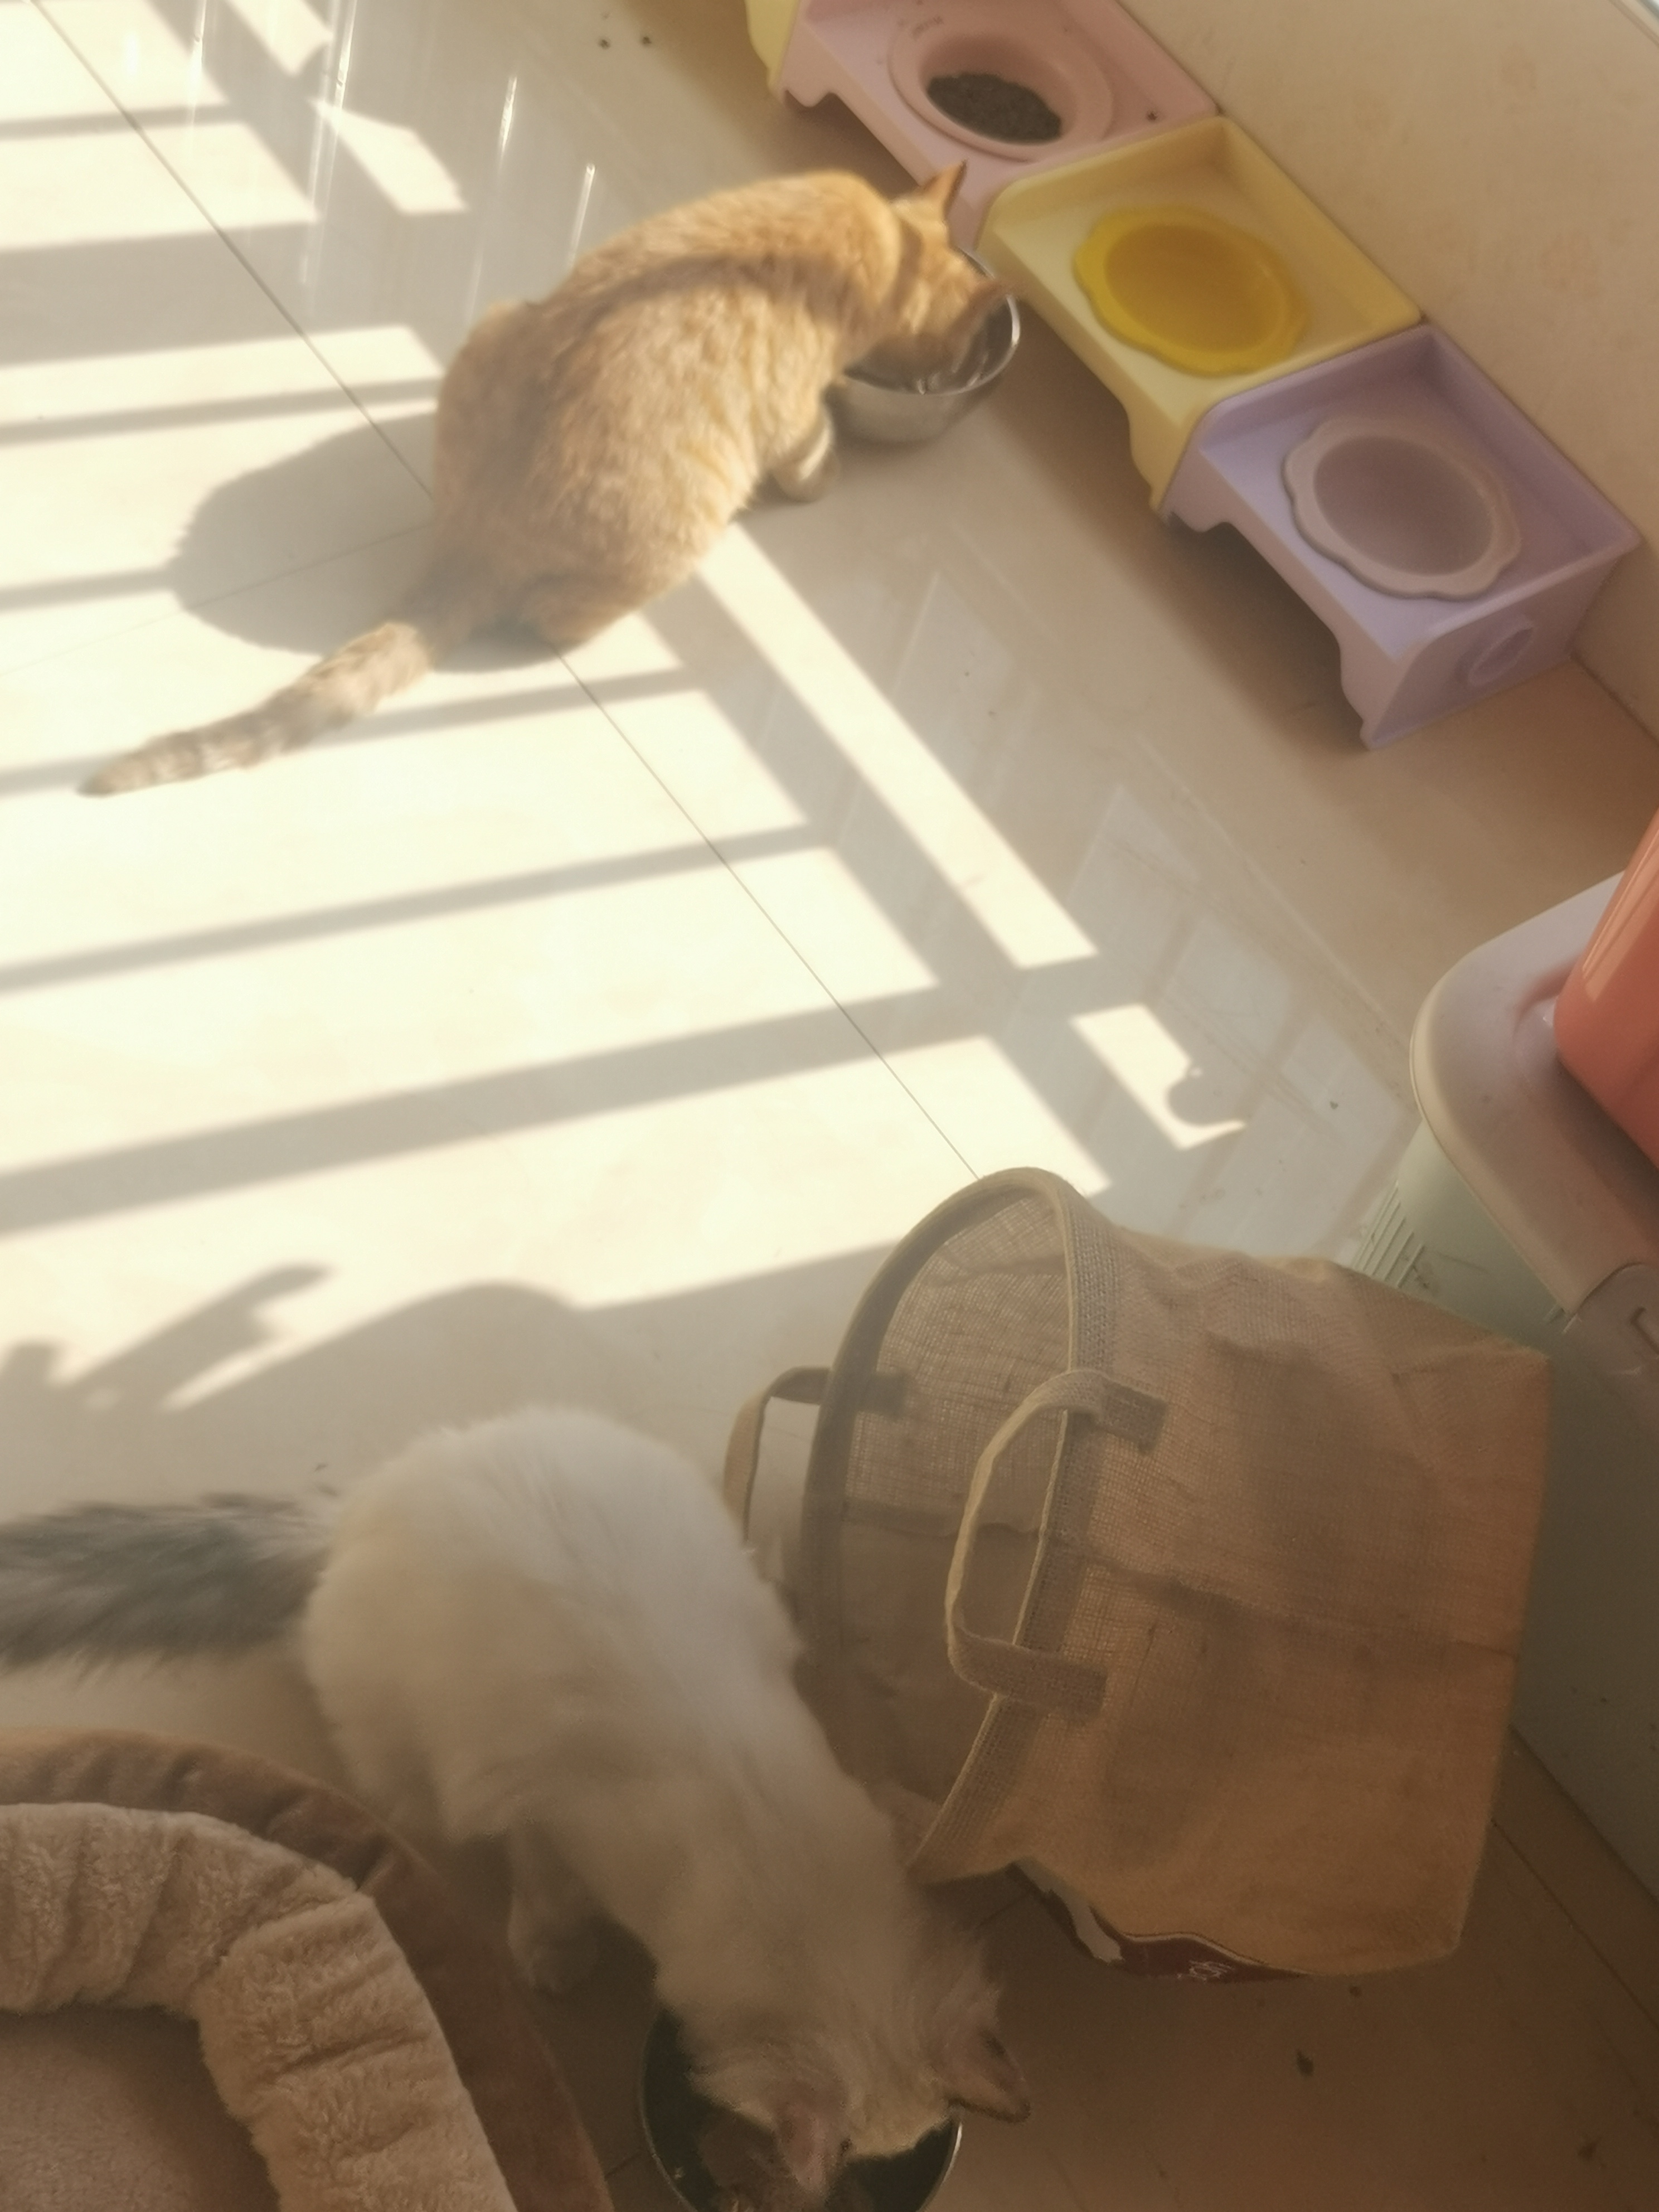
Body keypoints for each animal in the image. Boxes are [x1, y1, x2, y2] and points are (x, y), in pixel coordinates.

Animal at [0, 1406, 1028, 2199]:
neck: (781, 1859)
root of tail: (362, 1506)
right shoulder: (546, 1827)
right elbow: (547, 1901)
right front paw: (553, 1960)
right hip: (391, 1737)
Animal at [82, 166, 1005, 796]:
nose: (944, 375)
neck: (883, 240)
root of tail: (473, 543)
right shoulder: (792, 412)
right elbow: (814, 456)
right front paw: (831, 471)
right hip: (680, 535)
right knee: (555, 622)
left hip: (495, 325)